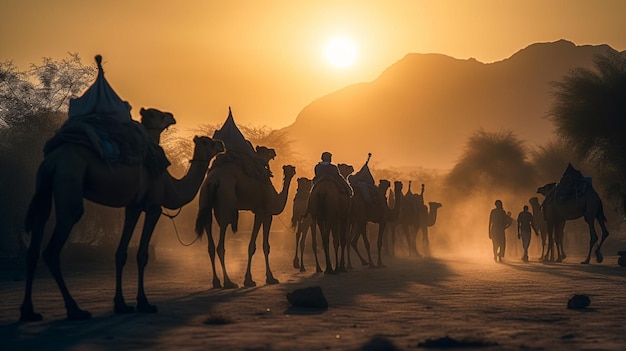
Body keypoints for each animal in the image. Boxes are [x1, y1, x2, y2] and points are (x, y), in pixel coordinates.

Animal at [20, 113, 224, 322]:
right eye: (210, 142)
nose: (222, 143)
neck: (170, 185)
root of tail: (52, 161)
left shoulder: (133, 207)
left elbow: (121, 253)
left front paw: (121, 304)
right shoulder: (153, 208)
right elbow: (142, 254)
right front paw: (144, 303)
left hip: (44, 186)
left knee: (35, 241)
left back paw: (29, 312)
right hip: (69, 183)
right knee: (53, 247)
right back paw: (75, 310)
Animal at [195, 157, 294, 288]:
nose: (292, 171)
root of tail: (213, 180)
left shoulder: (264, 213)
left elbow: (264, 245)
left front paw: (267, 278)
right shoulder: (263, 211)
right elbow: (257, 246)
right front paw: (256, 279)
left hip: (204, 199)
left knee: (210, 244)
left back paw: (216, 282)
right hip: (226, 201)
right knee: (221, 242)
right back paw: (229, 282)